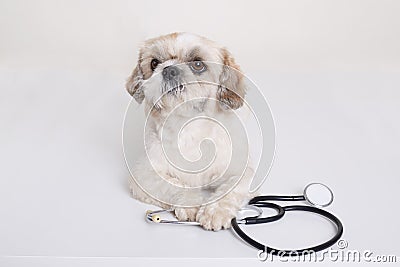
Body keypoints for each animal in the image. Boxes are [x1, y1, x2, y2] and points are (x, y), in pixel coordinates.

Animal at [125, 32, 256, 231]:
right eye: (154, 63)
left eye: (198, 64)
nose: (169, 70)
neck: (189, 127)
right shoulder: (143, 174)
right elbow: (174, 185)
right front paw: (191, 203)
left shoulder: (241, 170)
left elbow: (231, 188)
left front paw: (216, 210)